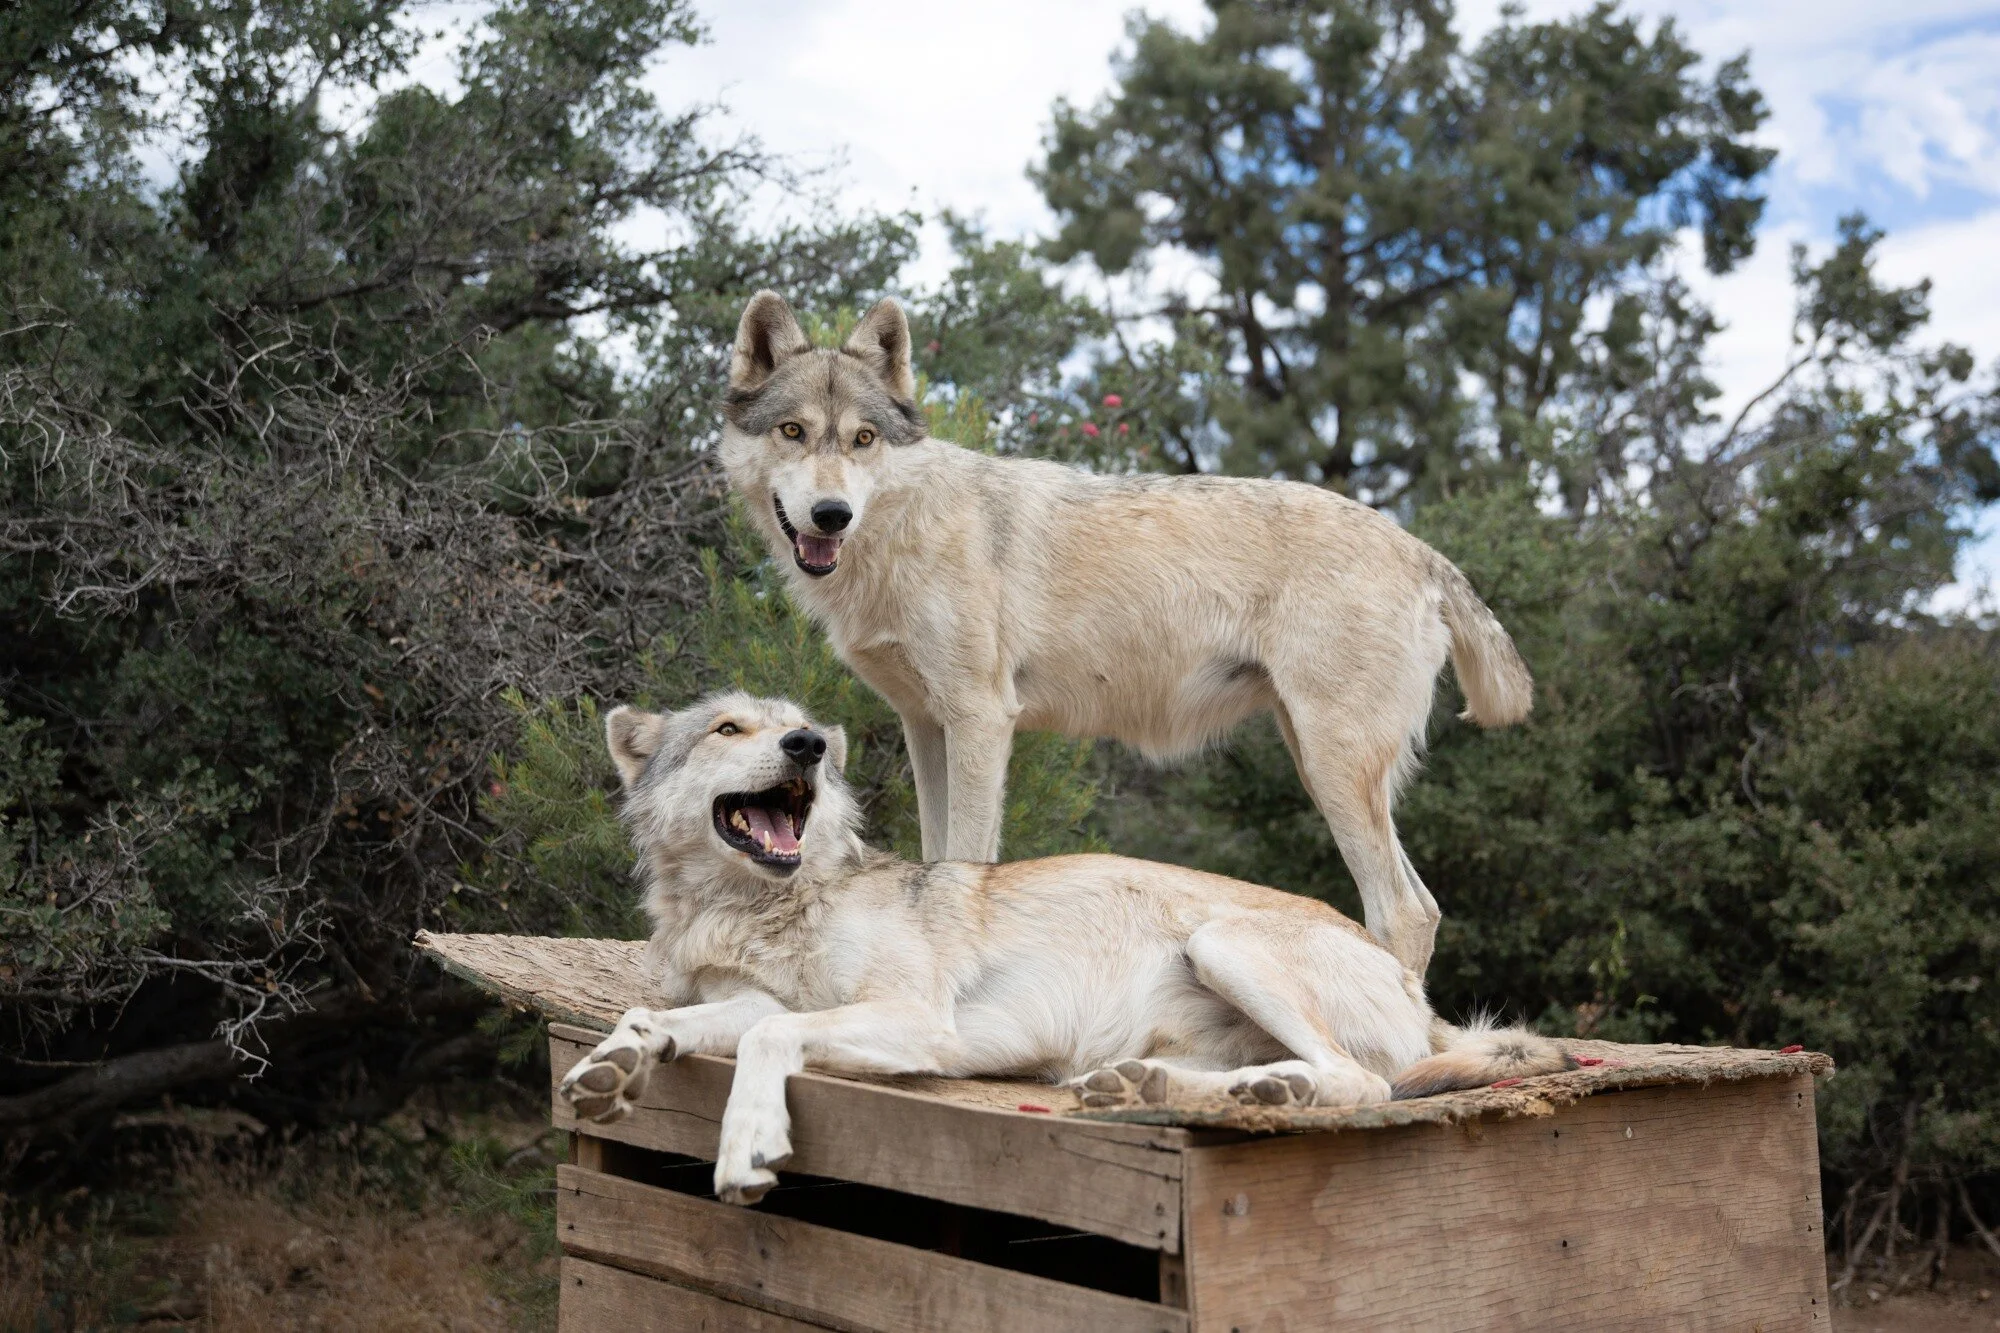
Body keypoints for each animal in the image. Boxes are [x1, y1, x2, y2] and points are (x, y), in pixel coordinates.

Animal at [556, 693, 1569, 1206]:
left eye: (801, 735)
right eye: (729, 728)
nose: (807, 744)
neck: (759, 904)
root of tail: (1418, 996)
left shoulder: (913, 1021)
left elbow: (766, 1043)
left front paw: (747, 1148)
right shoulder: (759, 998)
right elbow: (658, 1013)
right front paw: (613, 1066)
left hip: (1221, 939)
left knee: (1361, 1083)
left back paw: (1245, 1094)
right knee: (1289, 1076)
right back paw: (1165, 1089)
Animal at [717, 292, 1534, 975]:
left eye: (862, 439)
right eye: (793, 432)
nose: (831, 515)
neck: (896, 534)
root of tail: (1420, 549)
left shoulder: (982, 719)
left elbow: (968, 859)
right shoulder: (926, 726)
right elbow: (937, 854)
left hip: (1334, 767)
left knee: (1402, 911)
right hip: (1318, 761)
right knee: (1421, 907)